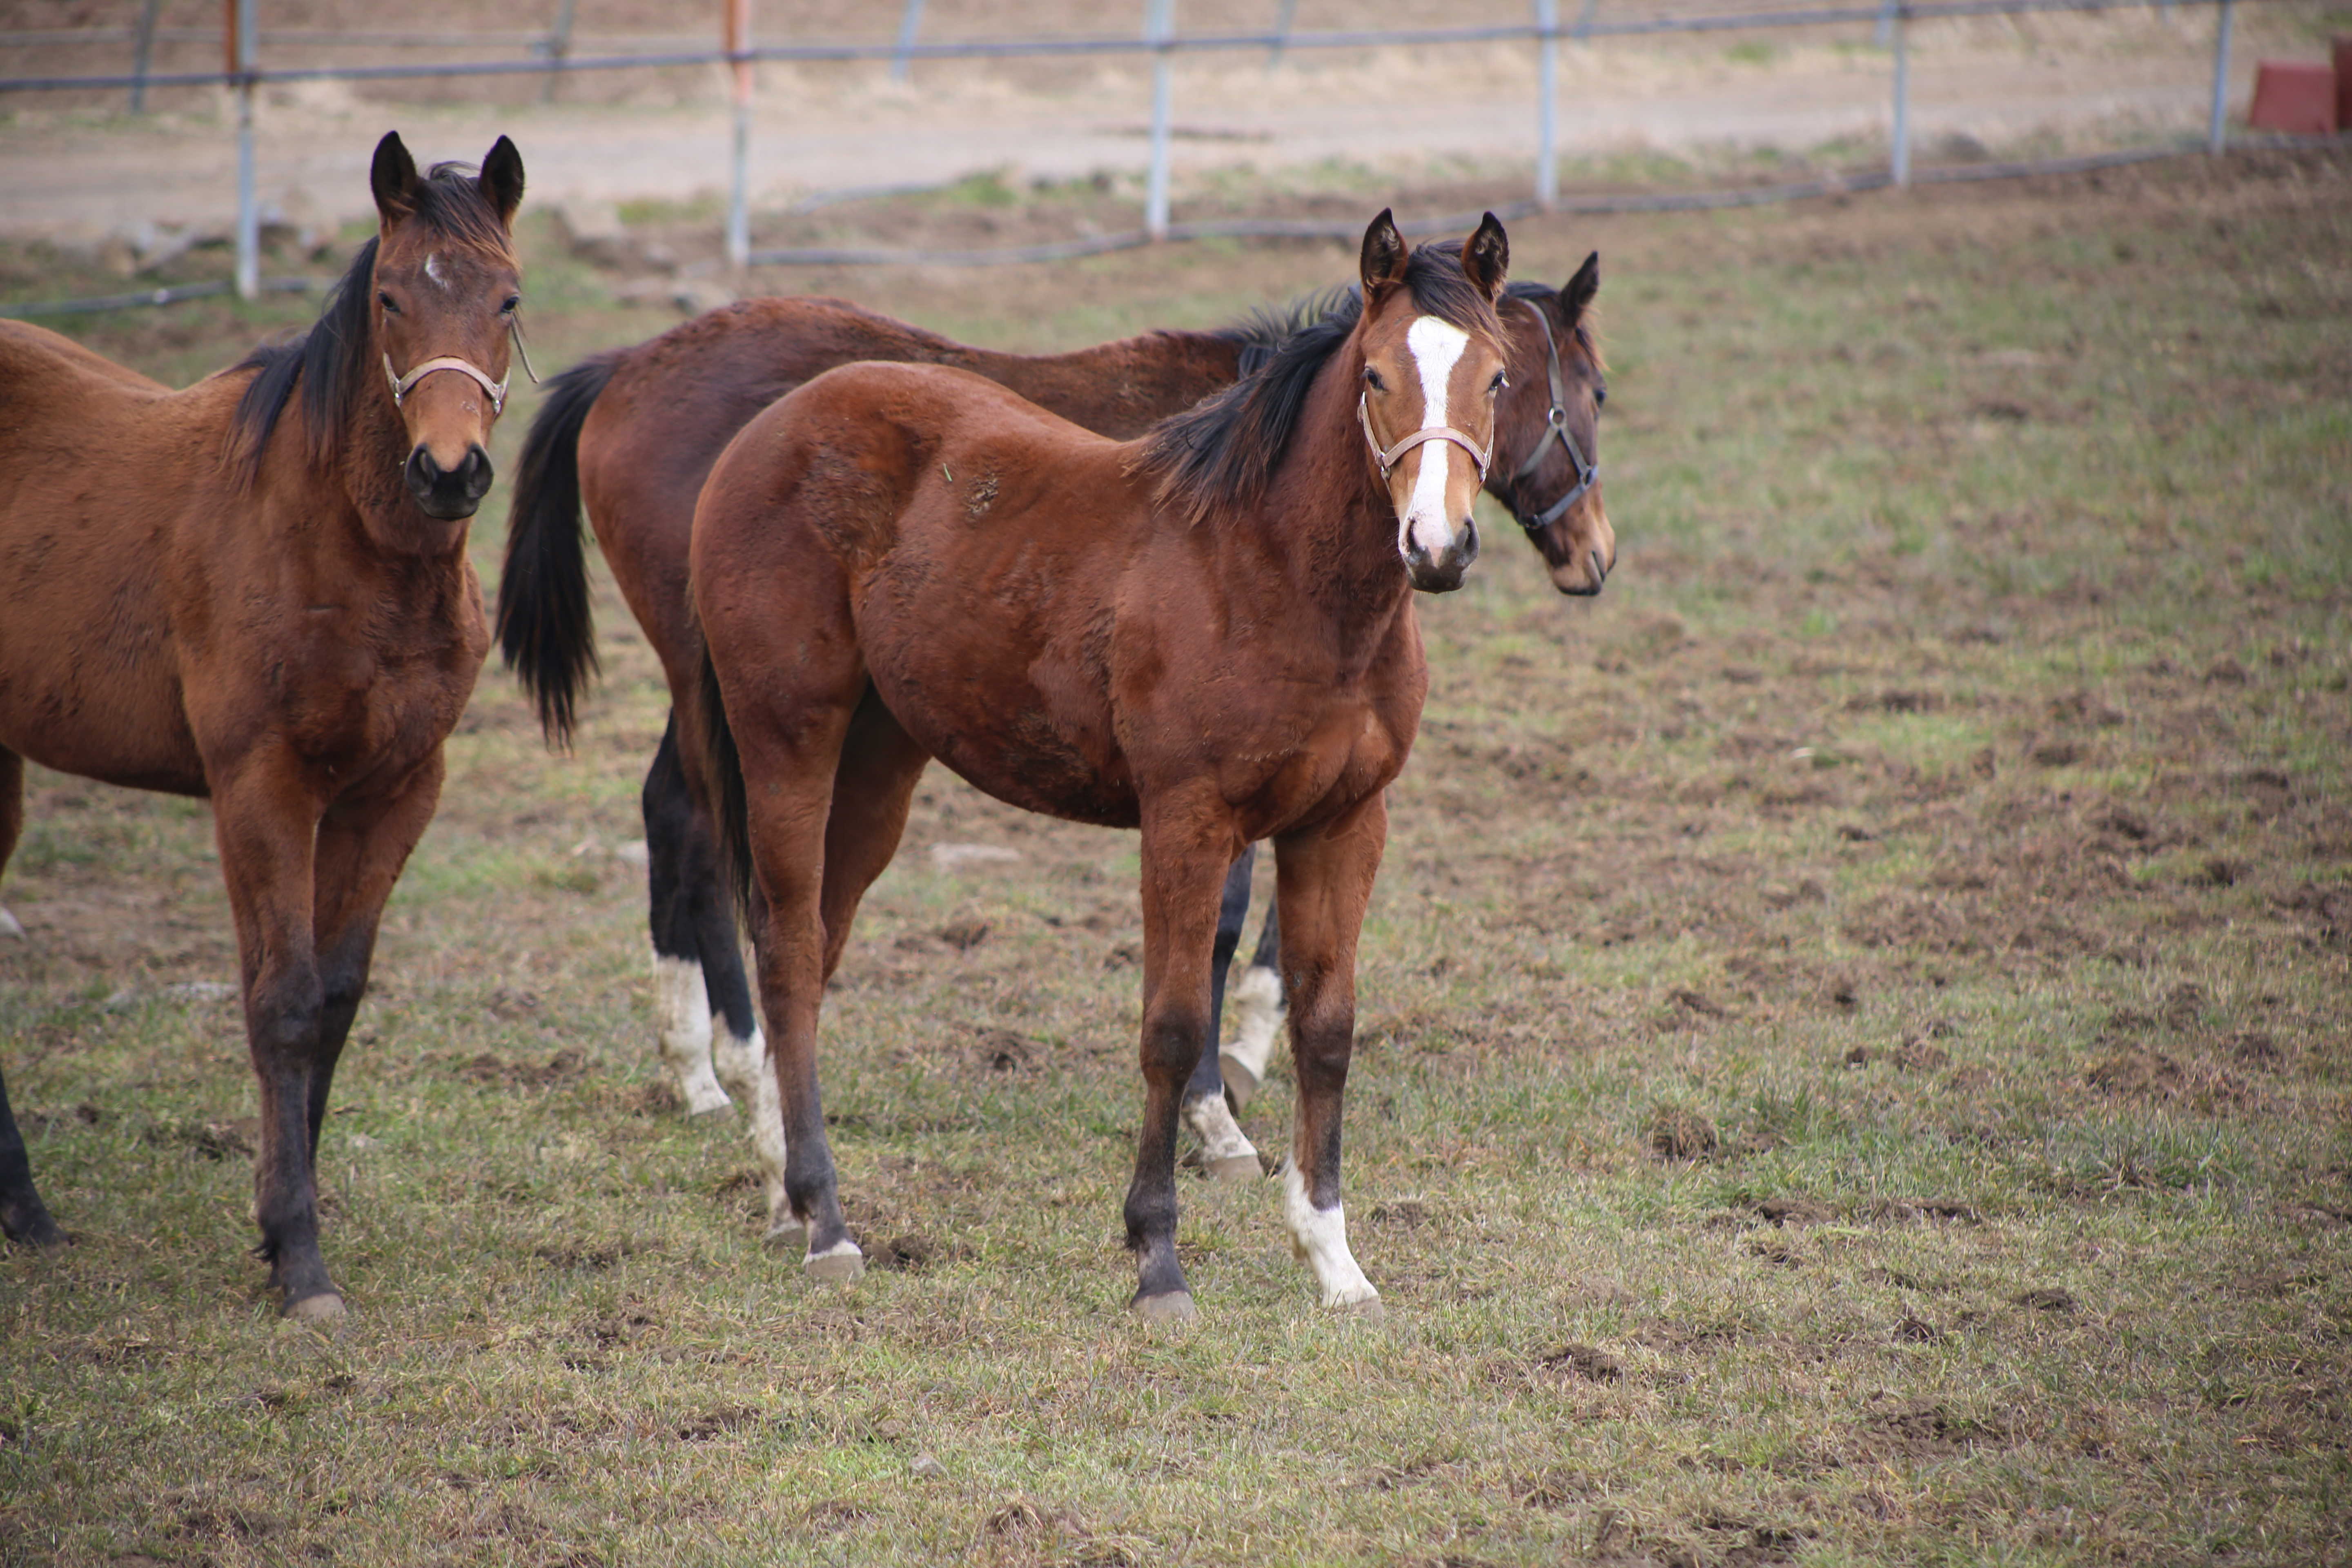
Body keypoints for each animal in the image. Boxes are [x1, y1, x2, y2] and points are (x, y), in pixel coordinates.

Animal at [0, 131, 524, 1326]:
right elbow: (279, 1001)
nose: (449, 471)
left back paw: (26, 1214)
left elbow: (333, 998)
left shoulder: (395, 789)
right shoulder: (262, 787)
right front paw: (302, 1263)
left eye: (510, 299)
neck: (340, 547)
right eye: (389, 298)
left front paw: (281, 1230)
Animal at [686, 215, 1515, 1316]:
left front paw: (1335, 1261)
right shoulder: (1187, 822)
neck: (1274, 576)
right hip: (788, 742)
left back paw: (788, 1194)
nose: (1436, 544)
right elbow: (1172, 1027)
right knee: (783, 954)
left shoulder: (1343, 823)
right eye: (1376, 376)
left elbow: (1327, 1027)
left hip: (876, 765)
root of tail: (763, 432)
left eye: (1498, 377)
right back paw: (825, 1220)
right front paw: (1157, 1258)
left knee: (814, 959)